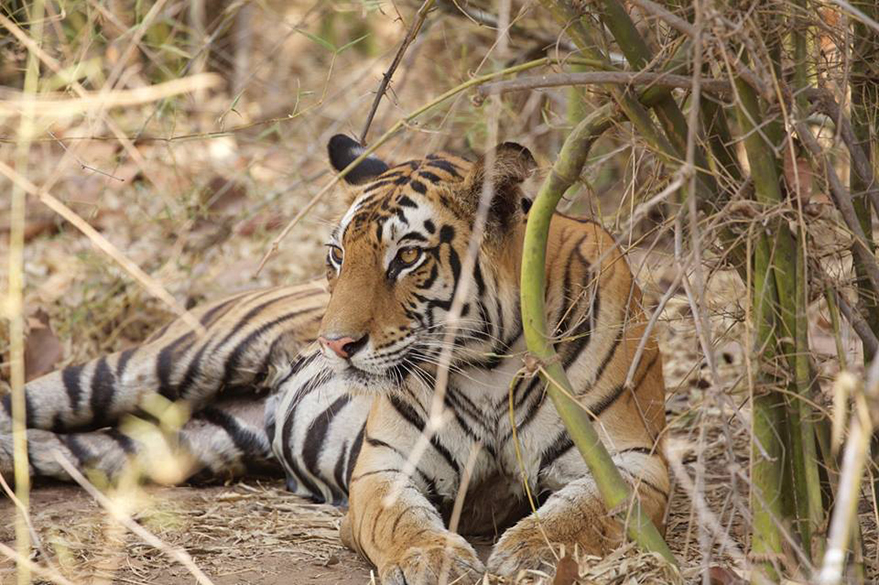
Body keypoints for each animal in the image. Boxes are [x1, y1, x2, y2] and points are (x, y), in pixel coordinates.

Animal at [0, 135, 672, 580]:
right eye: (337, 254)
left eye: (407, 256)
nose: (332, 345)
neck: (489, 362)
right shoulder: (382, 468)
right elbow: (399, 520)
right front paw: (430, 559)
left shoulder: (635, 461)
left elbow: (585, 511)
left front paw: (531, 551)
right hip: (149, 367)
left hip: (170, 446)